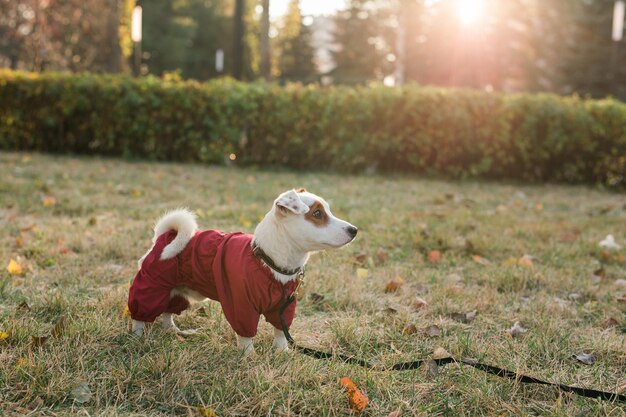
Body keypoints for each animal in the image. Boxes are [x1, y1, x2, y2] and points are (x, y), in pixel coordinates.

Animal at [127, 188, 356, 354]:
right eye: (317, 213)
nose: (354, 230)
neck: (267, 262)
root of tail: (166, 235)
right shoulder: (241, 304)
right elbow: (246, 335)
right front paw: (249, 356)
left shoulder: (283, 307)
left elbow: (280, 331)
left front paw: (282, 352)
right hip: (152, 285)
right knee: (141, 314)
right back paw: (138, 336)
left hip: (175, 290)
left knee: (168, 311)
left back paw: (173, 329)